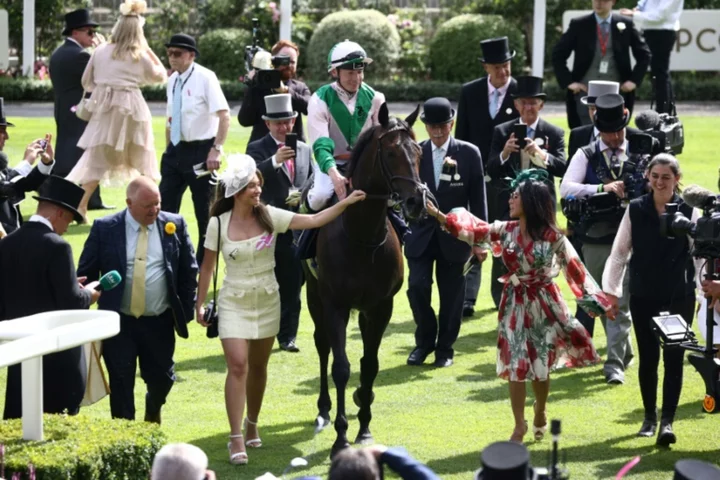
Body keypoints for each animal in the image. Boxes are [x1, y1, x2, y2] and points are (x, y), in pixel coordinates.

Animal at [304, 103, 428, 456]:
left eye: (418, 151)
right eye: (391, 152)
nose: (416, 201)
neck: (362, 234)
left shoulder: (381, 306)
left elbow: (369, 364)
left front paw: (365, 426)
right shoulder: (335, 304)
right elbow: (341, 367)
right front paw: (342, 437)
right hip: (314, 294)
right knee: (322, 345)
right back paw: (323, 409)